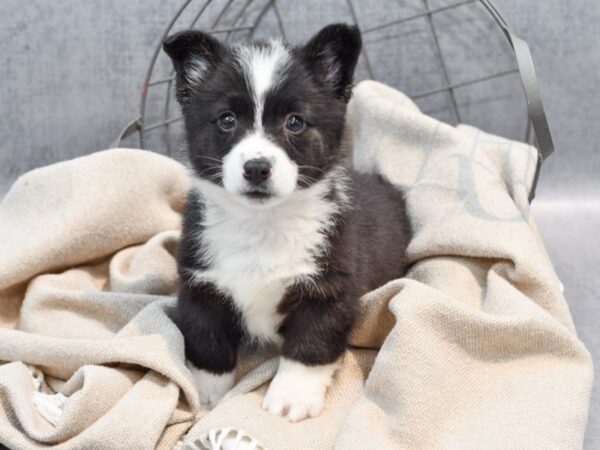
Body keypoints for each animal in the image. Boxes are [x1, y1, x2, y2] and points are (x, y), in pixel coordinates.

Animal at [162, 23, 410, 422]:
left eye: (295, 122)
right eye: (227, 119)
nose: (256, 168)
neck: (262, 222)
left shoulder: (329, 288)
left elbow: (309, 345)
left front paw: (290, 397)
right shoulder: (200, 284)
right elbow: (206, 340)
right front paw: (208, 395)